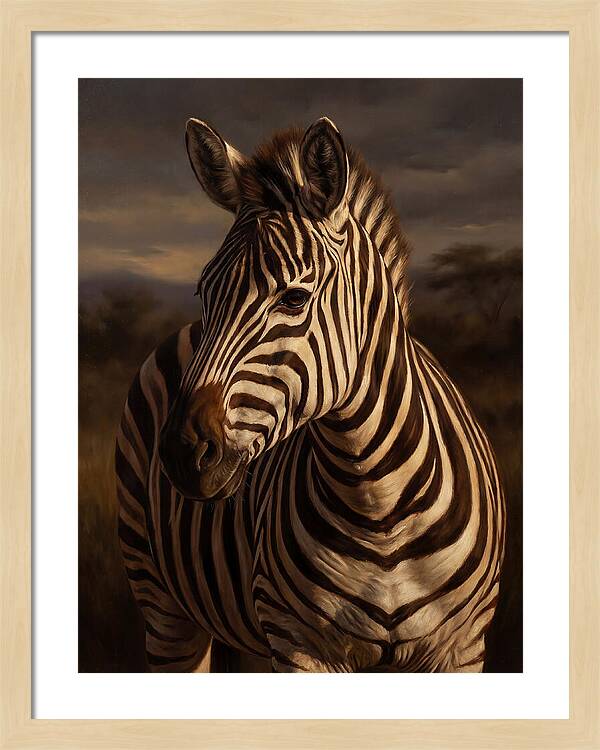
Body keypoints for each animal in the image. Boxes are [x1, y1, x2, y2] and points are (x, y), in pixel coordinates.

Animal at [116, 116, 506, 673]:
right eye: (204, 292)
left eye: (295, 298)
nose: (182, 452)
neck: (378, 505)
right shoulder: (300, 643)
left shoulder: (462, 647)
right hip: (162, 602)